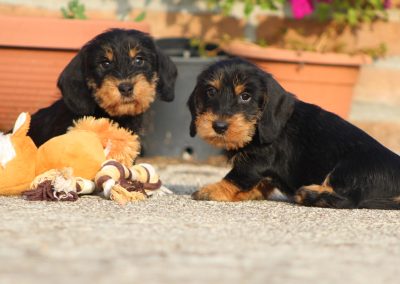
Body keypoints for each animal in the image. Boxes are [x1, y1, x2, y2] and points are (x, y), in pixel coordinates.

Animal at [189, 57, 400, 210]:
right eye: (210, 91)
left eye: (245, 96)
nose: (219, 126)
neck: (256, 128)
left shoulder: (256, 161)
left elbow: (236, 177)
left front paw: (212, 190)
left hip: (350, 169)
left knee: (348, 200)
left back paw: (309, 194)